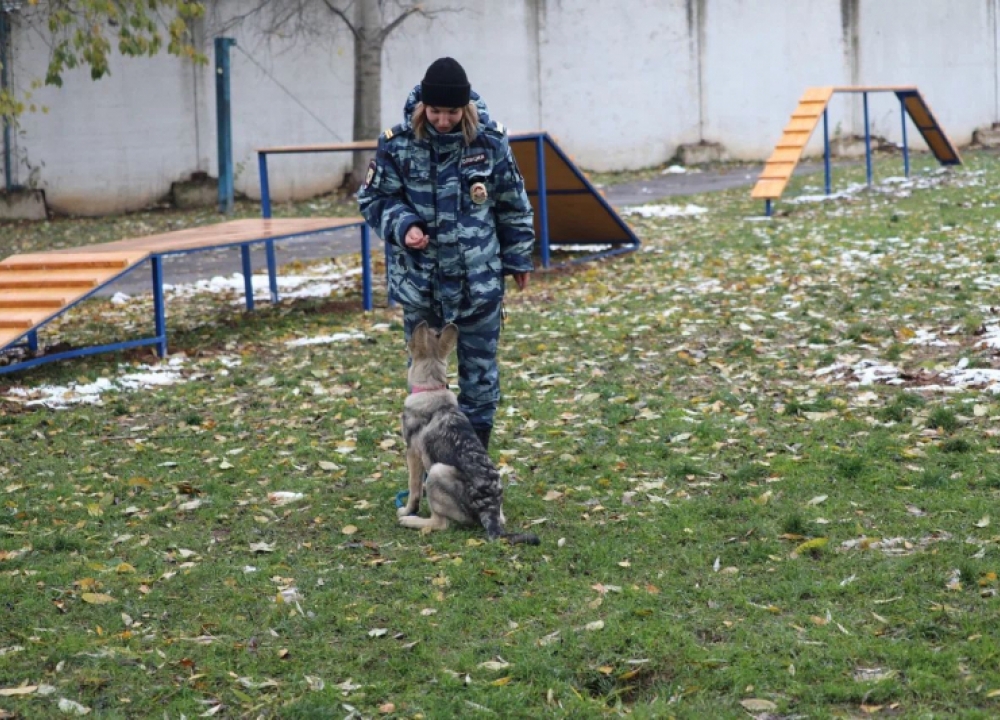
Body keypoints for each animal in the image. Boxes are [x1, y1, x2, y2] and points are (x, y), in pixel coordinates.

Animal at [396, 322, 540, 544]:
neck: (431, 389)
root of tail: (489, 508)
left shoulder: (412, 453)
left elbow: (414, 489)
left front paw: (407, 510)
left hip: (437, 472)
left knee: (441, 523)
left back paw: (411, 521)